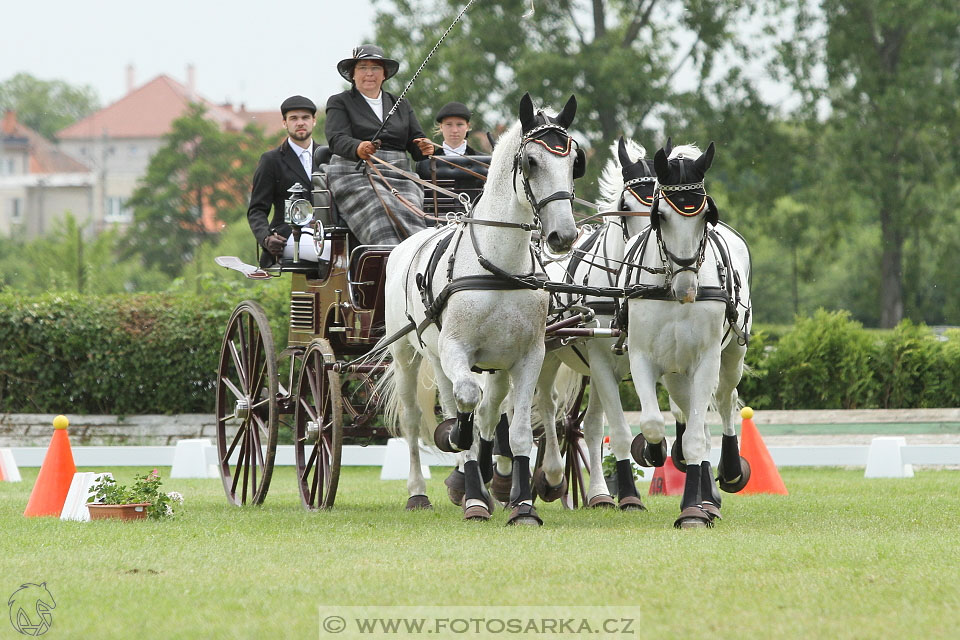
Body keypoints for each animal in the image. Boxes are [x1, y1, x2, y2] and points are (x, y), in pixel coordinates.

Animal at [380, 94, 576, 524]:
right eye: (531, 161)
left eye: (574, 160)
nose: (564, 235)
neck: (499, 266)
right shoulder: (457, 350)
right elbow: (465, 408)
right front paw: (469, 487)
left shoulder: (528, 356)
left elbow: (516, 430)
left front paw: (522, 505)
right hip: (411, 356)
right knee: (418, 417)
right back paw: (424, 490)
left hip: (484, 363)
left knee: (488, 411)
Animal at [620, 142, 752, 528]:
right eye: (660, 216)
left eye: (705, 216)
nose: (687, 288)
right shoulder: (641, 357)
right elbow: (652, 423)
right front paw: (655, 450)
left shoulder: (706, 360)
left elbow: (696, 437)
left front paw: (693, 511)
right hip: (677, 370)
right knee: (688, 412)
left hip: (729, 358)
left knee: (723, 403)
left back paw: (726, 476)